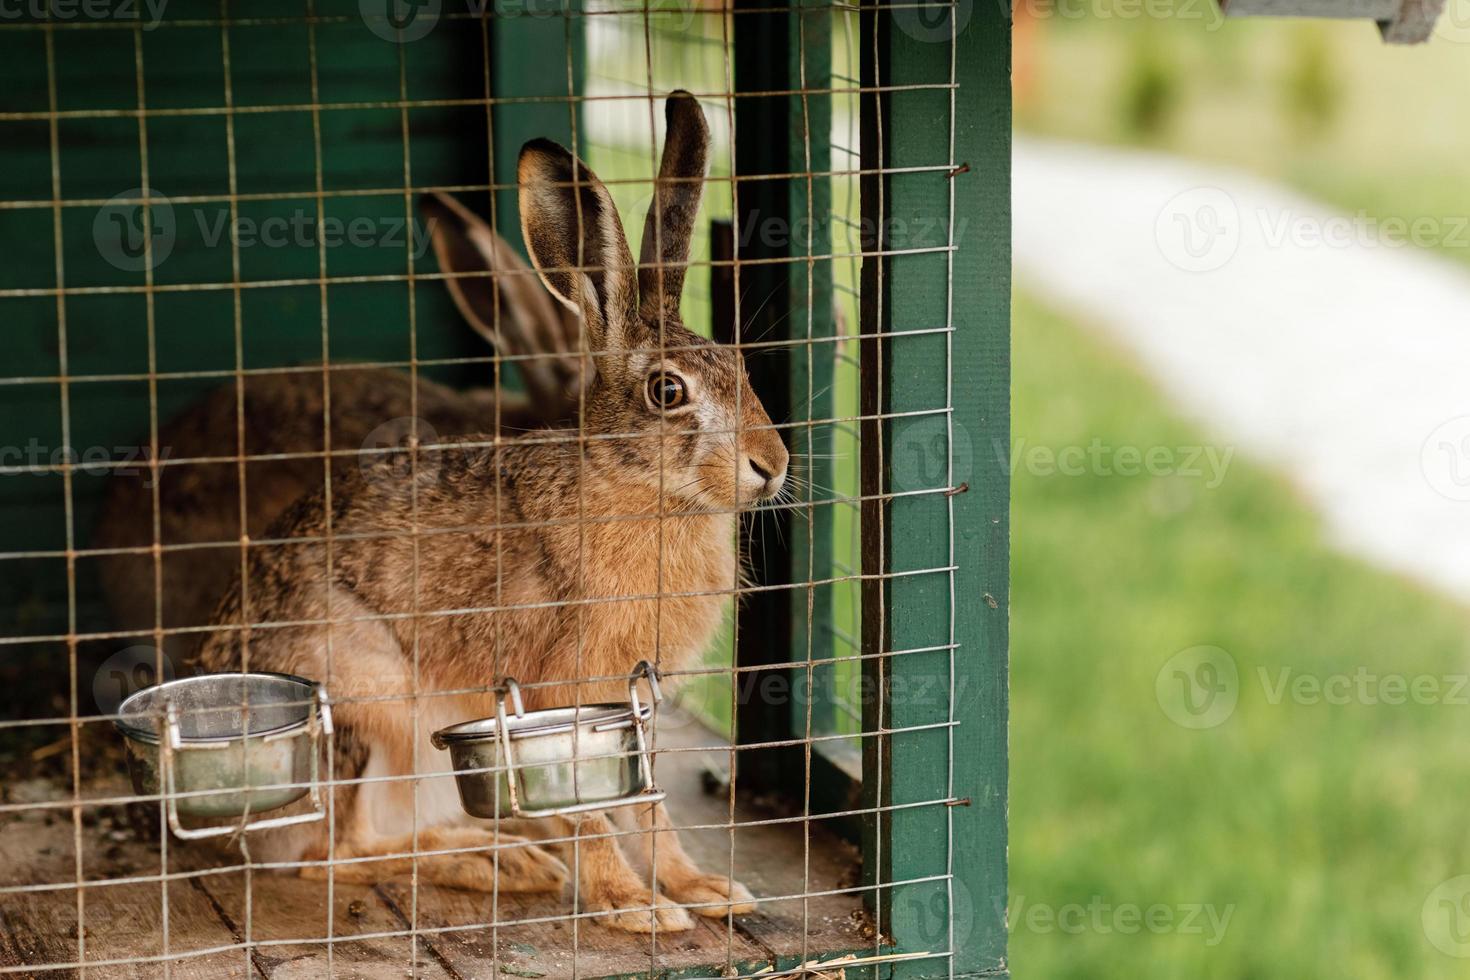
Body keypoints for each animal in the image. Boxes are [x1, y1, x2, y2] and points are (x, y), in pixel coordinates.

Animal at [195, 91, 793, 934]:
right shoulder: (554, 696)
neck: (642, 490)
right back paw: (495, 862)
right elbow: (591, 812)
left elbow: (649, 805)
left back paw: (510, 854)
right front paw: (633, 908)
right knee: (335, 855)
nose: (772, 466)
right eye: (667, 392)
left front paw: (700, 888)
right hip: (370, 718)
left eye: (741, 368)